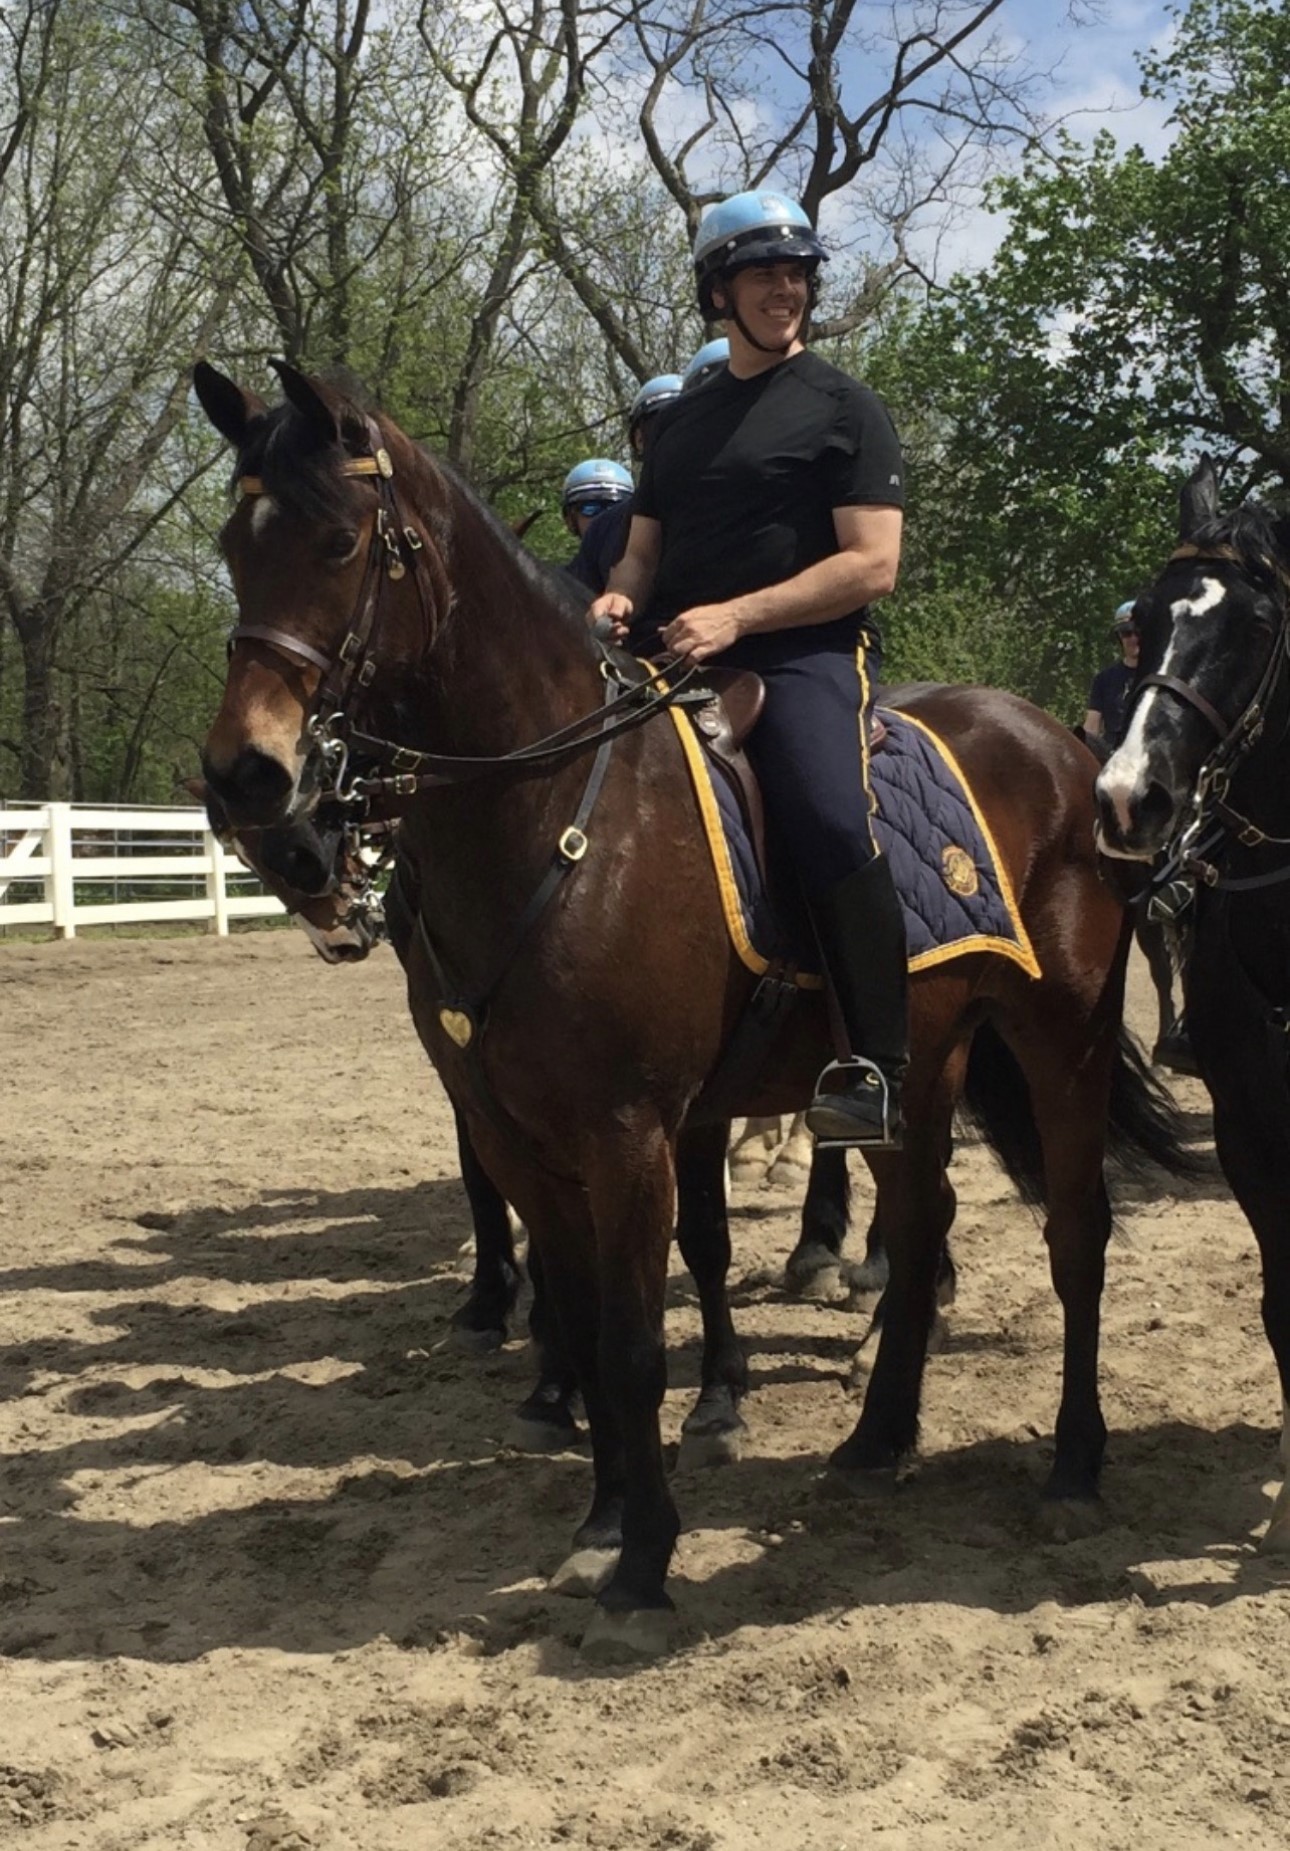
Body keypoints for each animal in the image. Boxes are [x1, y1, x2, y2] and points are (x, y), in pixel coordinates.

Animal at [193, 360, 1184, 1665]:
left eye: (341, 539)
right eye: (229, 546)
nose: (249, 783)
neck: (561, 810)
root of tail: (1059, 747)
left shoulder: (631, 1137)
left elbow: (631, 1337)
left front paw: (645, 1562)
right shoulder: (519, 1135)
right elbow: (579, 1319)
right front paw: (604, 1517)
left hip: (1058, 1038)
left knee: (1076, 1234)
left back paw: (1073, 1467)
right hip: (919, 1063)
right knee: (921, 1223)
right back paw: (879, 1439)